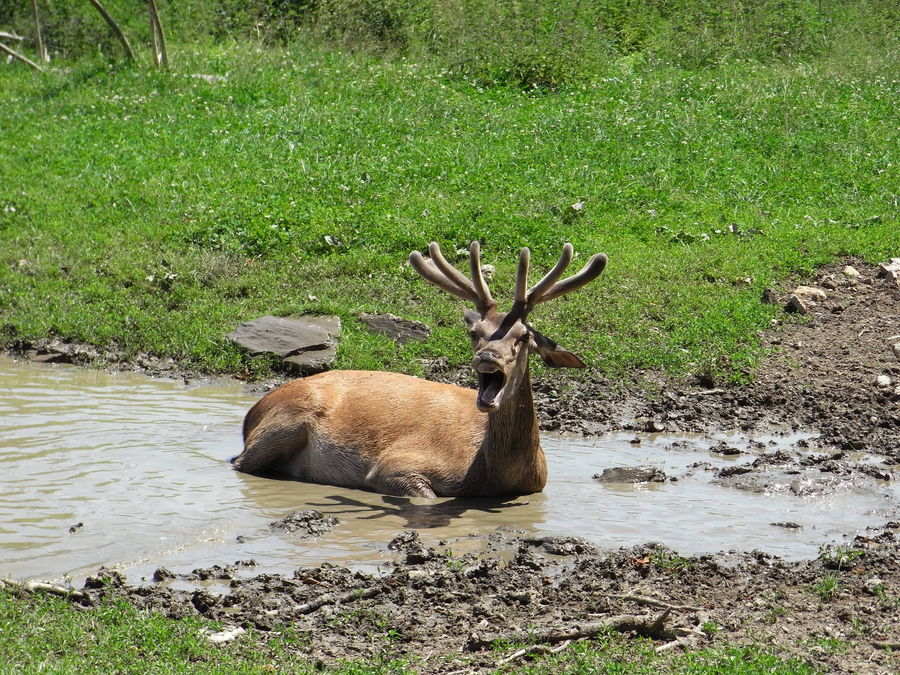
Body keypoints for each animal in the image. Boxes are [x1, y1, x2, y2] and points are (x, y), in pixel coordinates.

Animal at [232, 242, 608, 496]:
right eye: (475, 332)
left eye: (524, 336)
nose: (487, 357)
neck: (494, 474)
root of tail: (253, 411)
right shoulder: (395, 464)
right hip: (287, 419)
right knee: (239, 462)